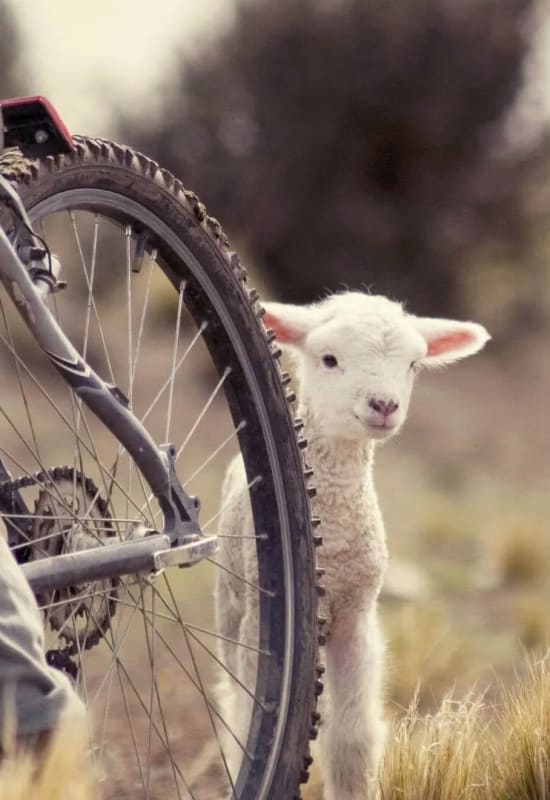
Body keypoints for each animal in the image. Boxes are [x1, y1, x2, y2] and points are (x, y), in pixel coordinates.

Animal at [216, 290, 492, 796]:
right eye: (329, 359)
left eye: (413, 365)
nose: (383, 404)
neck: (333, 542)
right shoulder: (261, 623)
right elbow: (247, 719)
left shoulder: (357, 617)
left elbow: (353, 739)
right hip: (231, 604)